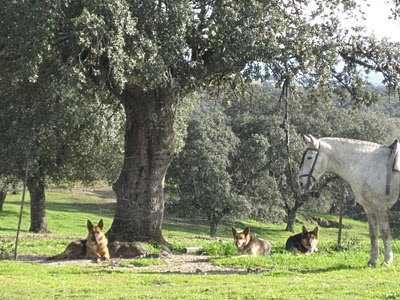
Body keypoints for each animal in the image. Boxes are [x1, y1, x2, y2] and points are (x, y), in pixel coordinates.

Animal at [296, 135, 400, 266]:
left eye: (309, 157)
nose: (300, 182)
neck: (370, 164)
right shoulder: (369, 208)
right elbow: (373, 234)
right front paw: (372, 260)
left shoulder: (380, 207)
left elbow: (385, 233)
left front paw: (387, 260)